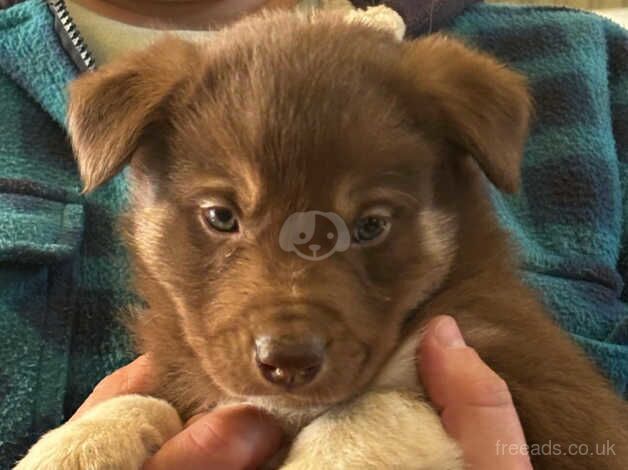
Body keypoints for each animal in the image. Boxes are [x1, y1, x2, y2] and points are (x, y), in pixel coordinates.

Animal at [17, 8, 624, 470]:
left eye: (371, 225)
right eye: (221, 216)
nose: (287, 363)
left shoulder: (539, 383)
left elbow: (371, 408)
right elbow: (138, 398)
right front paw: (73, 446)